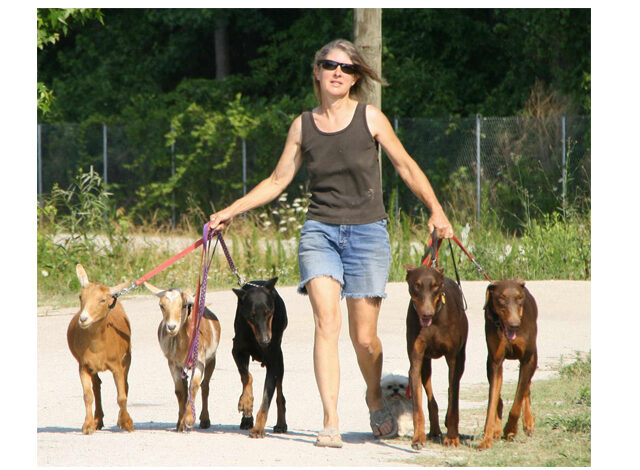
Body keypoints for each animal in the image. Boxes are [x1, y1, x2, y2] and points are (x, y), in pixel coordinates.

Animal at [67, 262, 133, 436]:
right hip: (92, 367)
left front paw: (127, 423)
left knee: (125, 384)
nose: (83, 319)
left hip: (127, 358)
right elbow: (87, 395)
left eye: (102, 300)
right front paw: (87, 425)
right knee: (96, 385)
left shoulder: (117, 366)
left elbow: (121, 396)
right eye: (81, 297)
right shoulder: (83, 365)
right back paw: (98, 419)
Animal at [144, 280, 221, 432]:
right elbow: (180, 391)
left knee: (205, 386)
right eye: (162, 305)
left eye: (184, 305)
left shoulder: (199, 362)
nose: (171, 327)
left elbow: (194, 386)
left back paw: (205, 420)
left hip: (211, 359)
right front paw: (180, 424)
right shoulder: (173, 363)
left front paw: (189, 419)